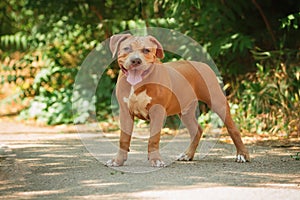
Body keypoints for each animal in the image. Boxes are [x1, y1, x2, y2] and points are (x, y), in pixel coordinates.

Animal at [106, 34, 250, 167]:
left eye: (146, 50)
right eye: (127, 49)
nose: (136, 60)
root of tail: (201, 64)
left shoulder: (157, 112)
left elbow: (153, 138)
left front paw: (155, 160)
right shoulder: (125, 112)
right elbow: (123, 138)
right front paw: (117, 161)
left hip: (218, 102)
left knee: (233, 129)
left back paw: (242, 155)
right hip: (185, 111)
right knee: (196, 130)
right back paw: (188, 155)